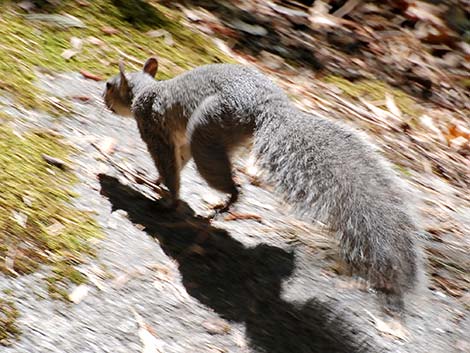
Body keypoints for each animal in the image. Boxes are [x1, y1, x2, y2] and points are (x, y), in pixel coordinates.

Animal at [104, 55, 420, 310]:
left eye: (109, 85)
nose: (103, 98)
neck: (147, 92)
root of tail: (269, 107)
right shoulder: (177, 141)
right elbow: (176, 164)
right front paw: (153, 180)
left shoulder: (154, 131)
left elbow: (170, 168)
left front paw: (167, 201)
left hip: (207, 129)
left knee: (228, 182)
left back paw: (226, 203)